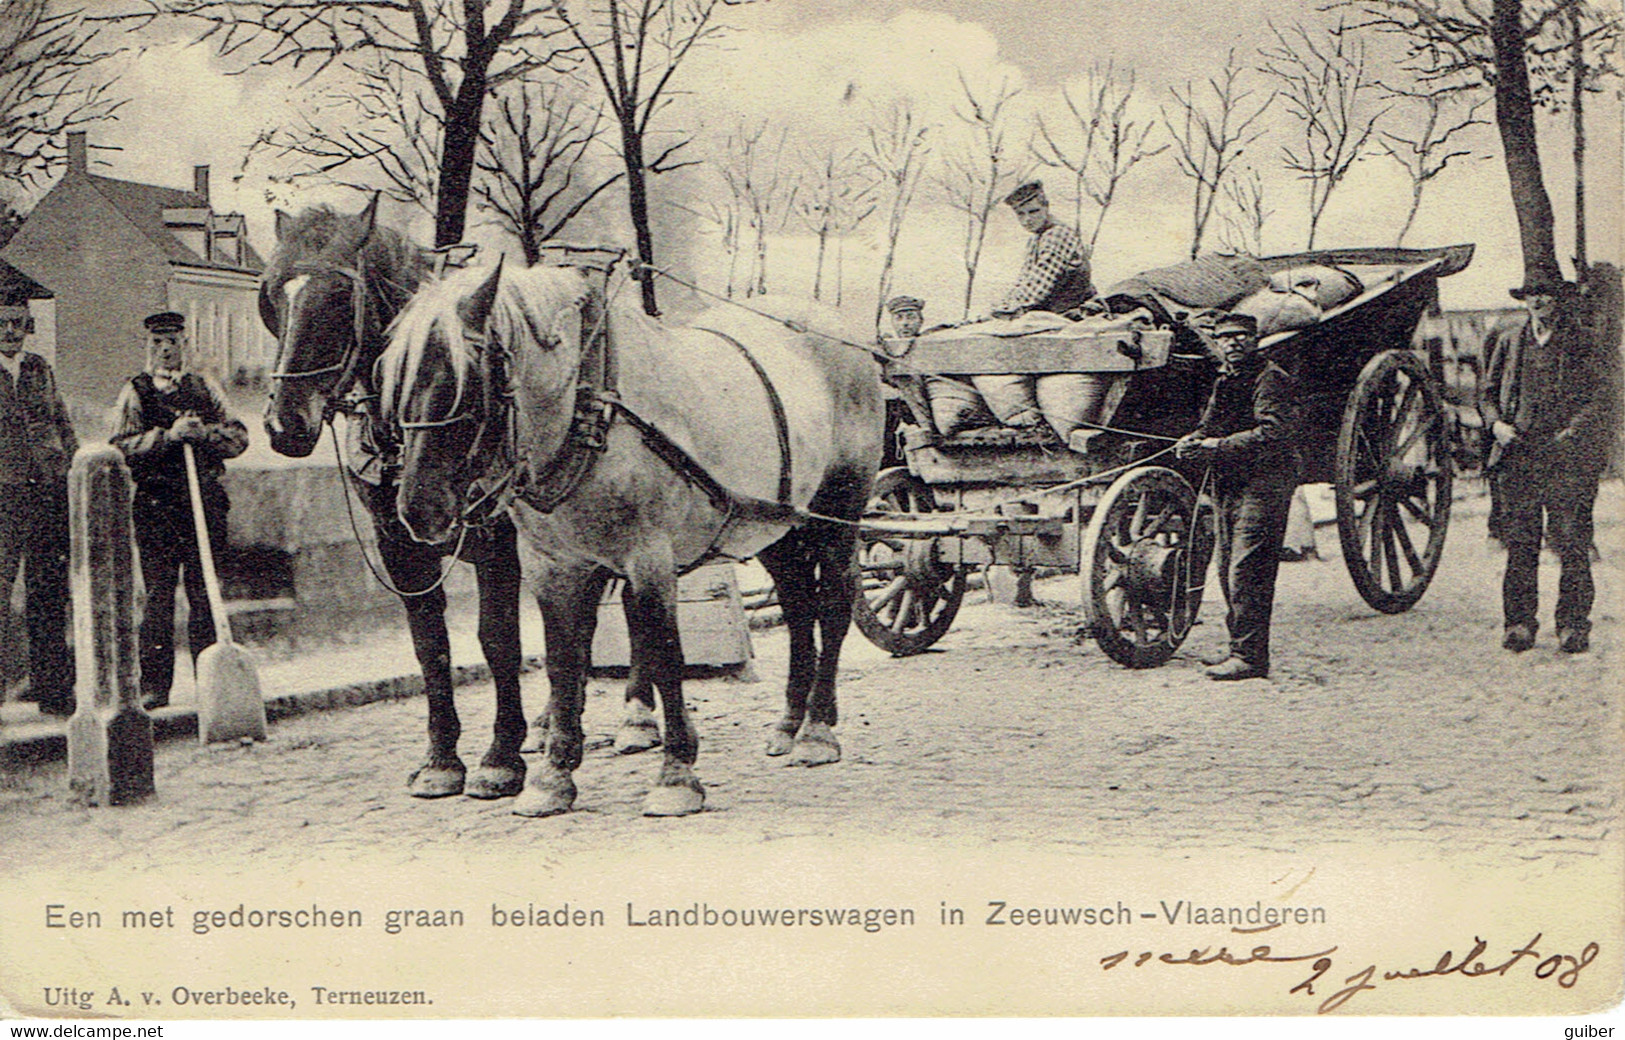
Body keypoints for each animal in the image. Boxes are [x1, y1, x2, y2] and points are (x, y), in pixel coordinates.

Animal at [256, 195, 529, 796]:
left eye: (341, 295)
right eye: (272, 295)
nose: (286, 424)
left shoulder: (500, 543)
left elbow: (499, 639)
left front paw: (502, 755)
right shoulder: (398, 545)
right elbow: (430, 645)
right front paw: (442, 760)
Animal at [375, 263, 884, 815]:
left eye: (464, 383)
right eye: (394, 382)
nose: (417, 510)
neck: (589, 411)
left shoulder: (650, 559)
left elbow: (664, 653)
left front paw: (677, 774)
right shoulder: (551, 567)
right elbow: (563, 662)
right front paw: (553, 776)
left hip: (838, 513)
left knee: (832, 607)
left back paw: (816, 730)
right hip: (777, 527)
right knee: (797, 609)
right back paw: (789, 724)